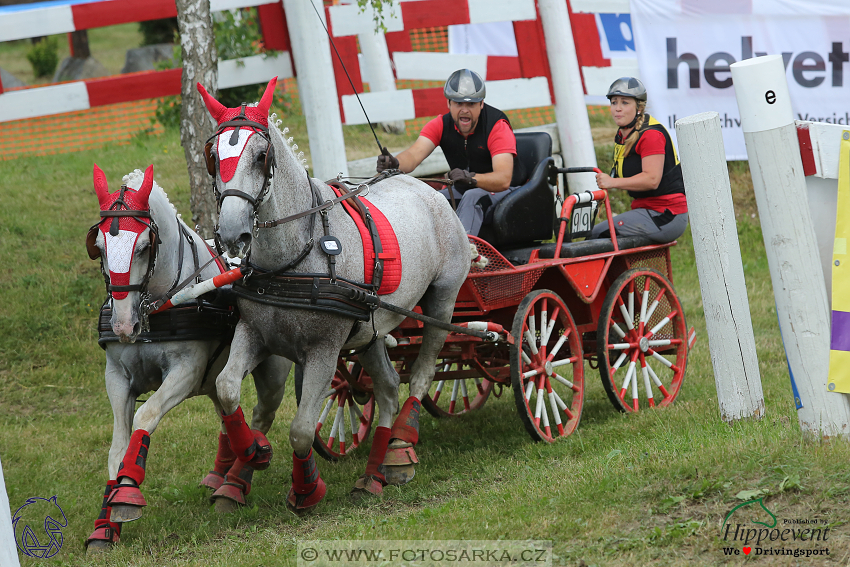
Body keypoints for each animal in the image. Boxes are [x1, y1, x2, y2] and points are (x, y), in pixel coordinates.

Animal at [86, 166, 292, 552]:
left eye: (145, 246)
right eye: (100, 247)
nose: (123, 325)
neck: (156, 310)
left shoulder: (185, 371)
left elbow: (146, 415)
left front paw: (127, 492)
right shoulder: (116, 378)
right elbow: (117, 446)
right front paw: (105, 523)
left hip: (272, 371)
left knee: (261, 414)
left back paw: (245, 467)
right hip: (215, 377)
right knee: (227, 413)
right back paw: (221, 472)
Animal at [200, 77, 470, 512]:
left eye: (261, 156)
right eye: (213, 156)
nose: (231, 232)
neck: (294, 258)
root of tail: (429, 187)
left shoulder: (325, 351)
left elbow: (301, 429)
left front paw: (306, 490)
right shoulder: (254, 333)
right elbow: (227, 389)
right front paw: (251, 454)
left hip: (443, 301)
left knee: (424, 372)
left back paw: (400, 447)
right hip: (371, 326)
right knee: (389, 389)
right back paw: (373, 474)